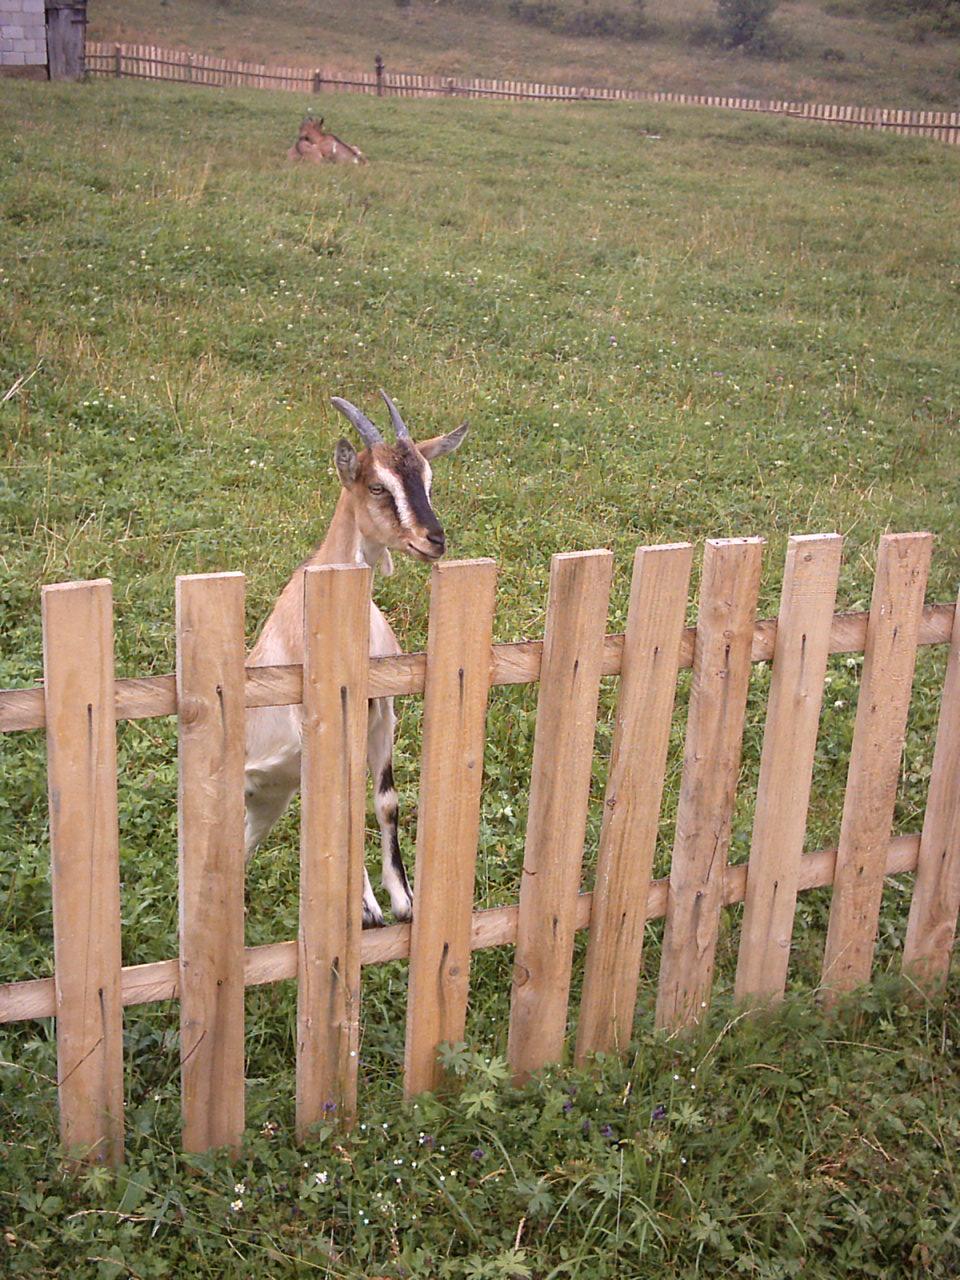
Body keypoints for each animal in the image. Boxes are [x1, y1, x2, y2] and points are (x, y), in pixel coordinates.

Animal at [244, 384, 471, 926]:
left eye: (427, 479)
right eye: (376, 486)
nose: (434, 539)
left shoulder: (381, 713)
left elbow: (385, 800)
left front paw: (404, 900)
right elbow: (340, 806)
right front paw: (366, 908)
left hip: (270, 797)